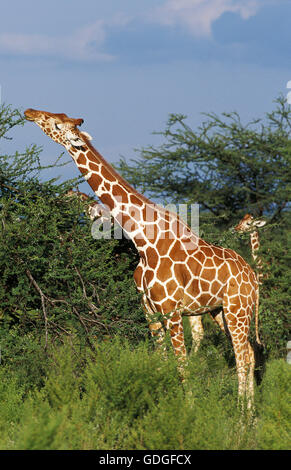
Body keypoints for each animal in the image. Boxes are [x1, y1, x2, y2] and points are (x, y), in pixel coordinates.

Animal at [25, 109, 262, 408]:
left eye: (56, 124)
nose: (29, 112)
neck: (144, 242)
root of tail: (253, 278)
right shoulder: (149, 310)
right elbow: (161, 362)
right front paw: (157, 408)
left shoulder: (172, 310)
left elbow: (182, 365)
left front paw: (188, 410)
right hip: (220, 311)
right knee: (248, 353)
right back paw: (249, 413)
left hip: (238, 308)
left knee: (243, 357)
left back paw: (243, 414)